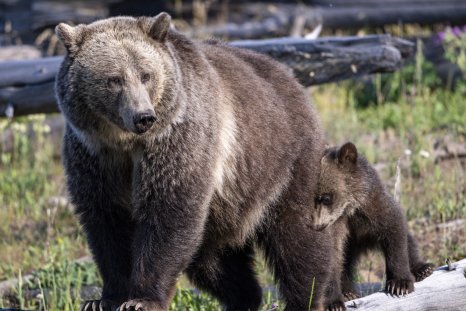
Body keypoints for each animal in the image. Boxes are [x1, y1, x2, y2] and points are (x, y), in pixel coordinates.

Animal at [54, 12, 332, 311]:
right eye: (114, 79)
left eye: (146, 75)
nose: (143, 117)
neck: (125, 142)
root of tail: (292, 79)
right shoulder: (94, 156)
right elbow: (107, 222)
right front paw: (104, 299)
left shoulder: (176, 141)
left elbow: (168, 212)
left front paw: (142, 300)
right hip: (226, 207)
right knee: (214, 263)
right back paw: (245, 297)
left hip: (283, 162)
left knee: (296, 237)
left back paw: (306, 296)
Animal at [312, 143, 436, 310]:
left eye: (326, 197)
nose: (316, 225)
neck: (350, 209)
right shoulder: (336, 228)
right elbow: (332, 259)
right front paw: (335, 302)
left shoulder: (374, 206)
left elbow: (395, 233)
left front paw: (400, 284)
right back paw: (348, 293)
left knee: (409, 242)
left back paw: (423, 268)